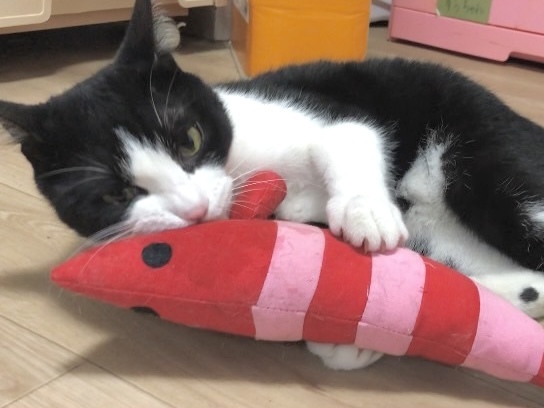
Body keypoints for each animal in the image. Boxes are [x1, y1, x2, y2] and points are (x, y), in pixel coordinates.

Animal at [2, 0, 544, 370]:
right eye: (115, 195)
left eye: (190, 139)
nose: (195, 209)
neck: (243, 166)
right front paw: (352, 338)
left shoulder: (314, 107)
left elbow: (346, 134)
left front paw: (365, 213)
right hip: (447, 232)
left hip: (485, 157)